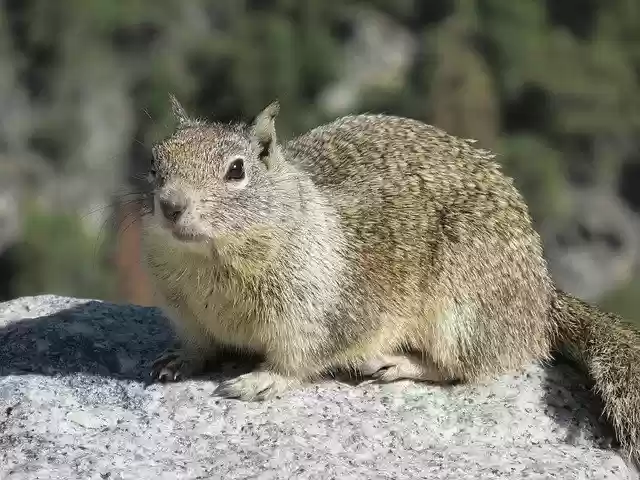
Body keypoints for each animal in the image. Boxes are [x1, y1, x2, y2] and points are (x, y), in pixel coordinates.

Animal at [141, 95, 640, 466]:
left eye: (236, 169)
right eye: (154, 162)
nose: (170, 205)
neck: (213, 263)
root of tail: (542, 297)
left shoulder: (315, 312)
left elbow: (297, 358)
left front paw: (260, 381)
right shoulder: (185, 312)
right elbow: (197, 344)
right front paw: (178, 361)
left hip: (462, 313)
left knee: (464, 368)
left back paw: (393, 363)